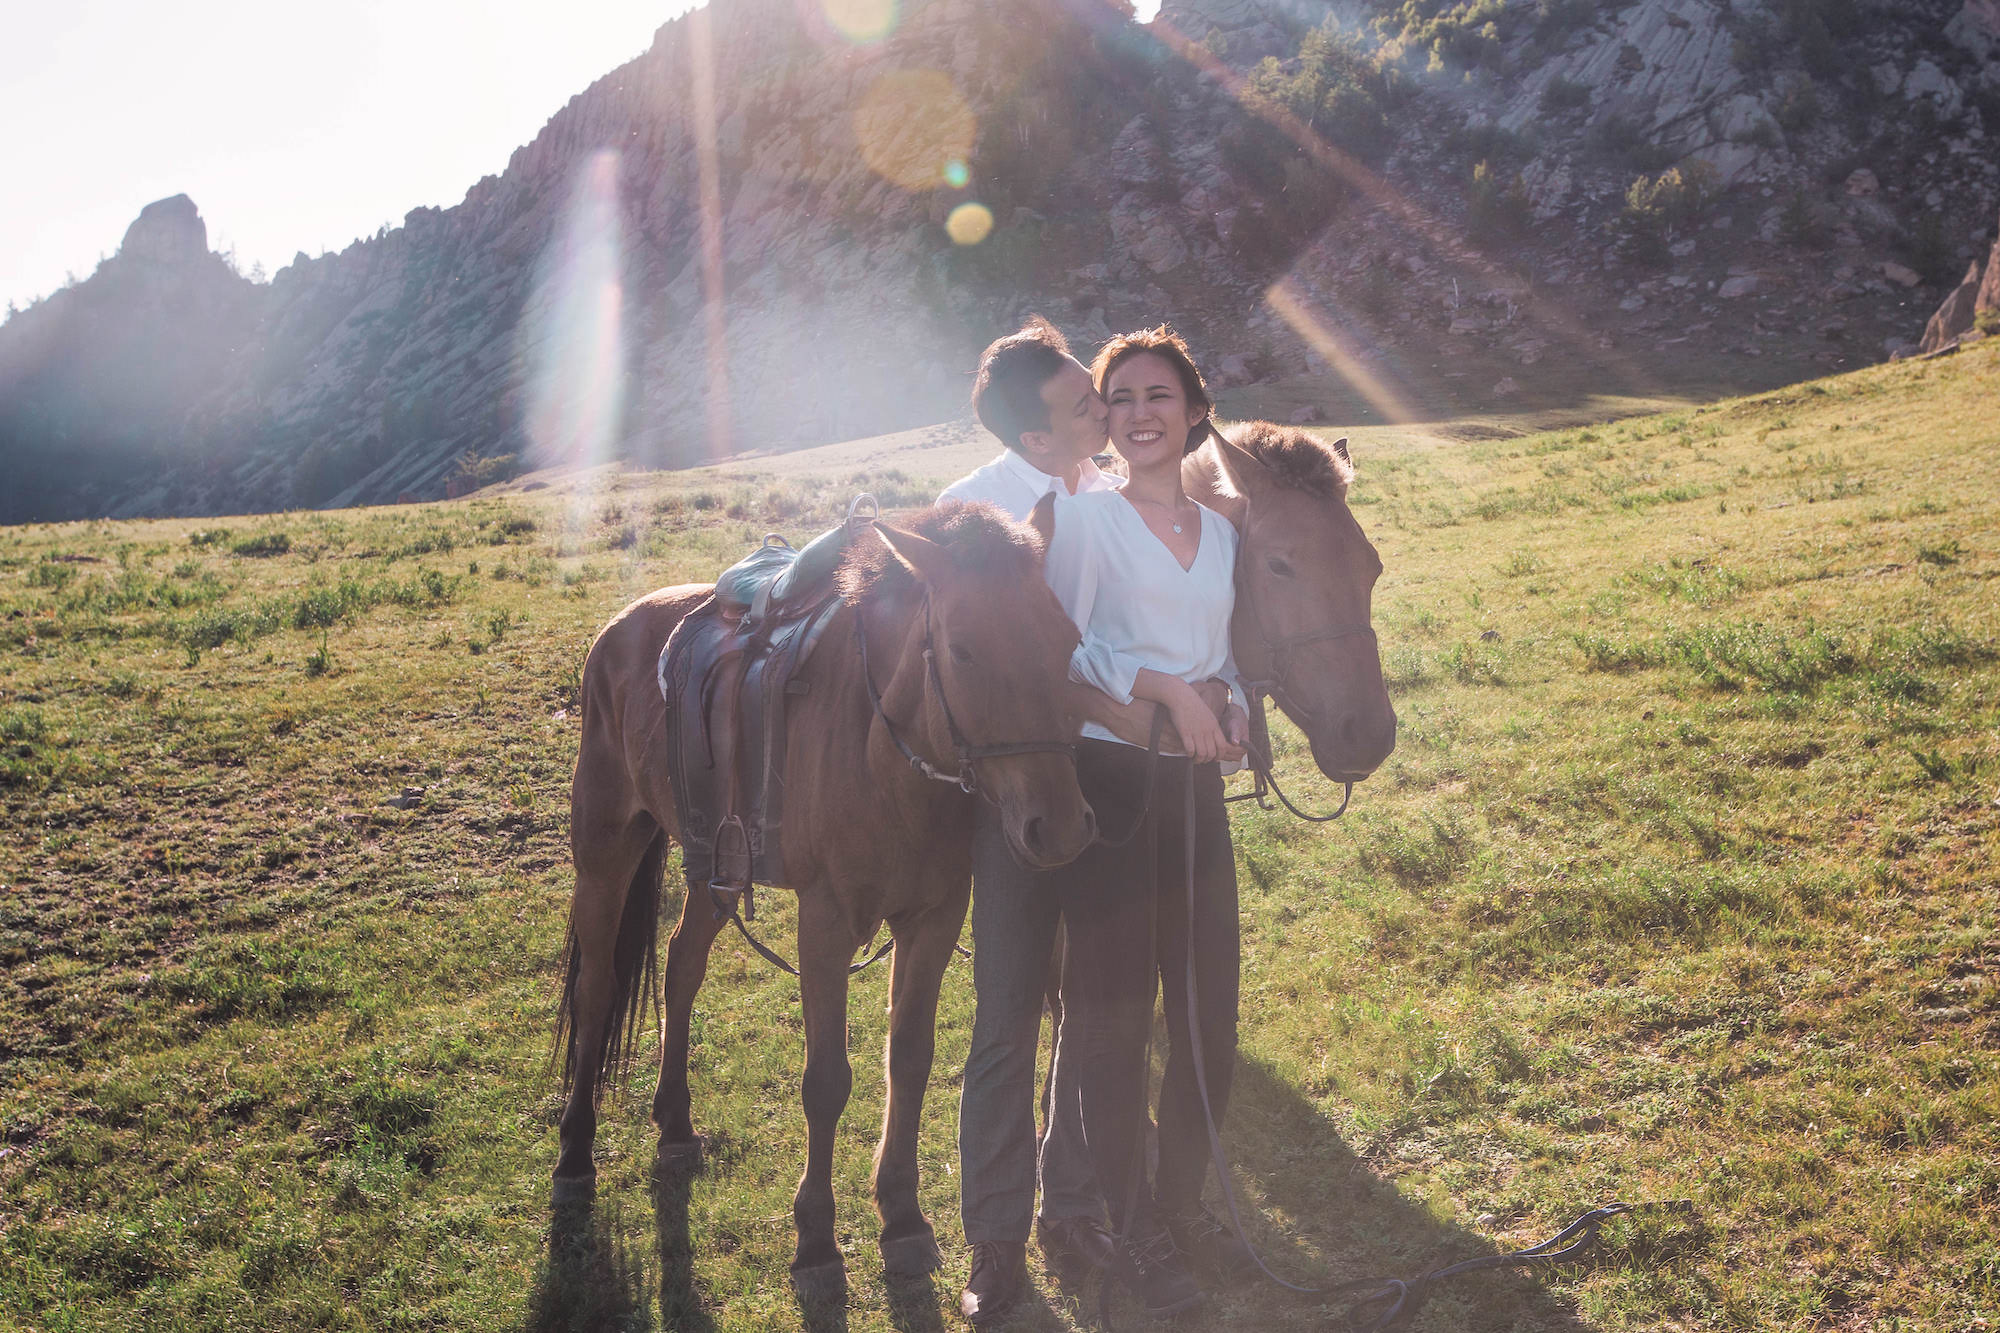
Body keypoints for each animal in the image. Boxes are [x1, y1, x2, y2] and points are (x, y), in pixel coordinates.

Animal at [556, 496, 1104, 1288]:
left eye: (1067, 641)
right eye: (963, 649)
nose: (1059, 828)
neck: (884, 751)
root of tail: (620, 627)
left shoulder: (933, 918)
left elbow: (909, 1060)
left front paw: (902, 1217)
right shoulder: (825, 926)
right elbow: (825, 1080)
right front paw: (816, 1237)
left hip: (714, 870)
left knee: (681, 966)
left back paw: (676, 1122)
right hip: (605, 855)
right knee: (597, 989)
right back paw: (574, 1152)